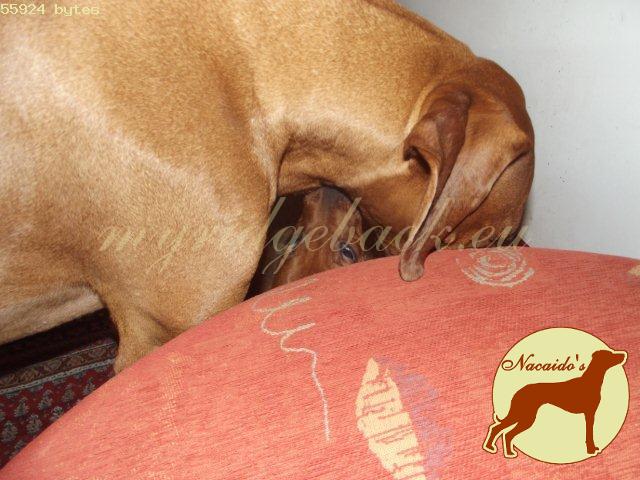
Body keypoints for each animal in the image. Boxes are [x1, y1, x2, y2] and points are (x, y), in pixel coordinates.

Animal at [483, 349, 627, 458]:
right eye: (610, 354)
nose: (624, 355)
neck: (591, 381)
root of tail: (519, 391)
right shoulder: (589, 414)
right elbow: (589, 434)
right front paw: (591, 450)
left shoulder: (589, 414)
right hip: (525, 416)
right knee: (502, 431)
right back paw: (498, 450)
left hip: (522, 415)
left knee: (502, 430)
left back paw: (499, 449)